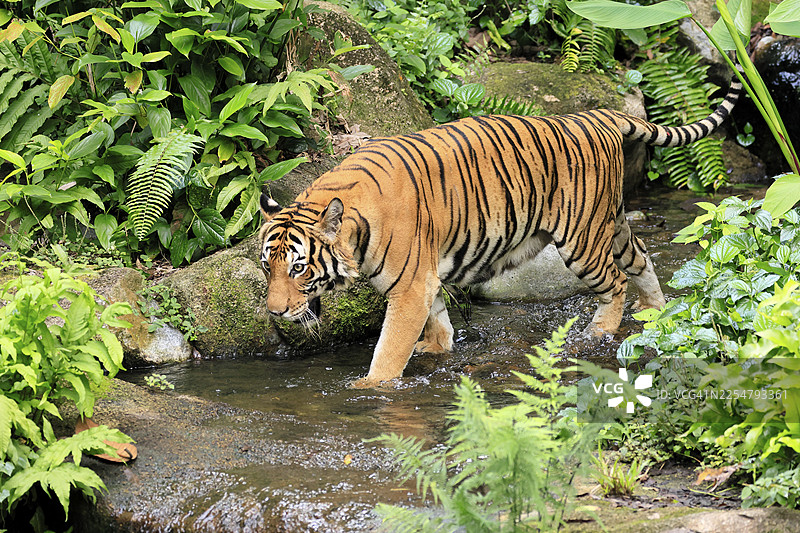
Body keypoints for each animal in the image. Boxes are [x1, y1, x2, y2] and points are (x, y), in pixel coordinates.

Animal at [258, 78, 741, 388]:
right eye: (267, 268)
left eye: (299, 268)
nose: (275, 313)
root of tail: (596, 115)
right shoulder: (425, 279)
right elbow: (437, 321)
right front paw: (437, 349)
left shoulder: (410, 286)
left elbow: (391, 346)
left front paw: (369, 387)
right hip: (612, 221)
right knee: (641, 258)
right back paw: (655, 313)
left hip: (582, 239)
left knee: (616, 281)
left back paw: (599, 331)